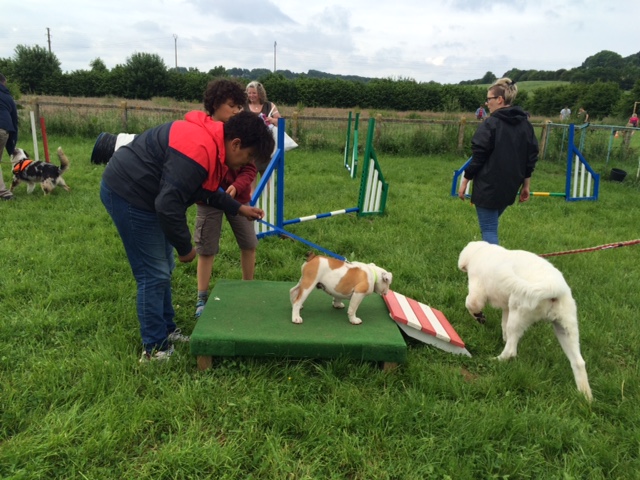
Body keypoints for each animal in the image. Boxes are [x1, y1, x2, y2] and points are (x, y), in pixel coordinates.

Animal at [458, 241, 592, 402]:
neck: (481, 250)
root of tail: (553, 286)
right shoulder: (507, 308)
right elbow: (503, 325)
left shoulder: (477, 292)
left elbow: (470, 304)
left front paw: (479, 317)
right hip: (566, 328)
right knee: (578, 362)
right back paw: (586, 397)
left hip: (518, 313)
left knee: (511, 351)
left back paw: (495, 360)